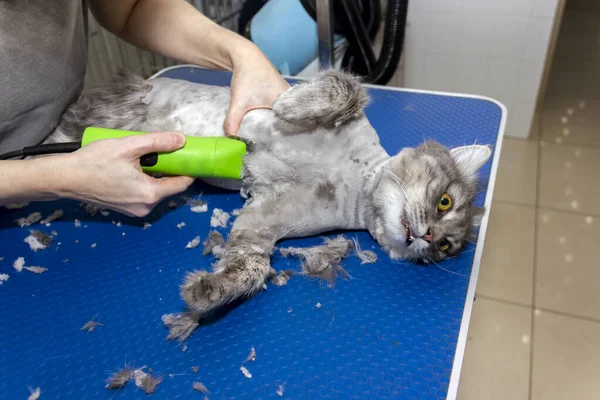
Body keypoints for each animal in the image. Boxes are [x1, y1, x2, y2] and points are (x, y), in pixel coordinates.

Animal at [43, 70, 492, 318]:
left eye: (447, 247)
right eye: (445, 202)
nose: (429, 237)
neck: (352, 182)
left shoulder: (260, 223)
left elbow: (252, 268)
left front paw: (205, 292)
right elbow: (345, 87)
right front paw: (290, 104)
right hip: (107, 112)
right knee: (59, 133)